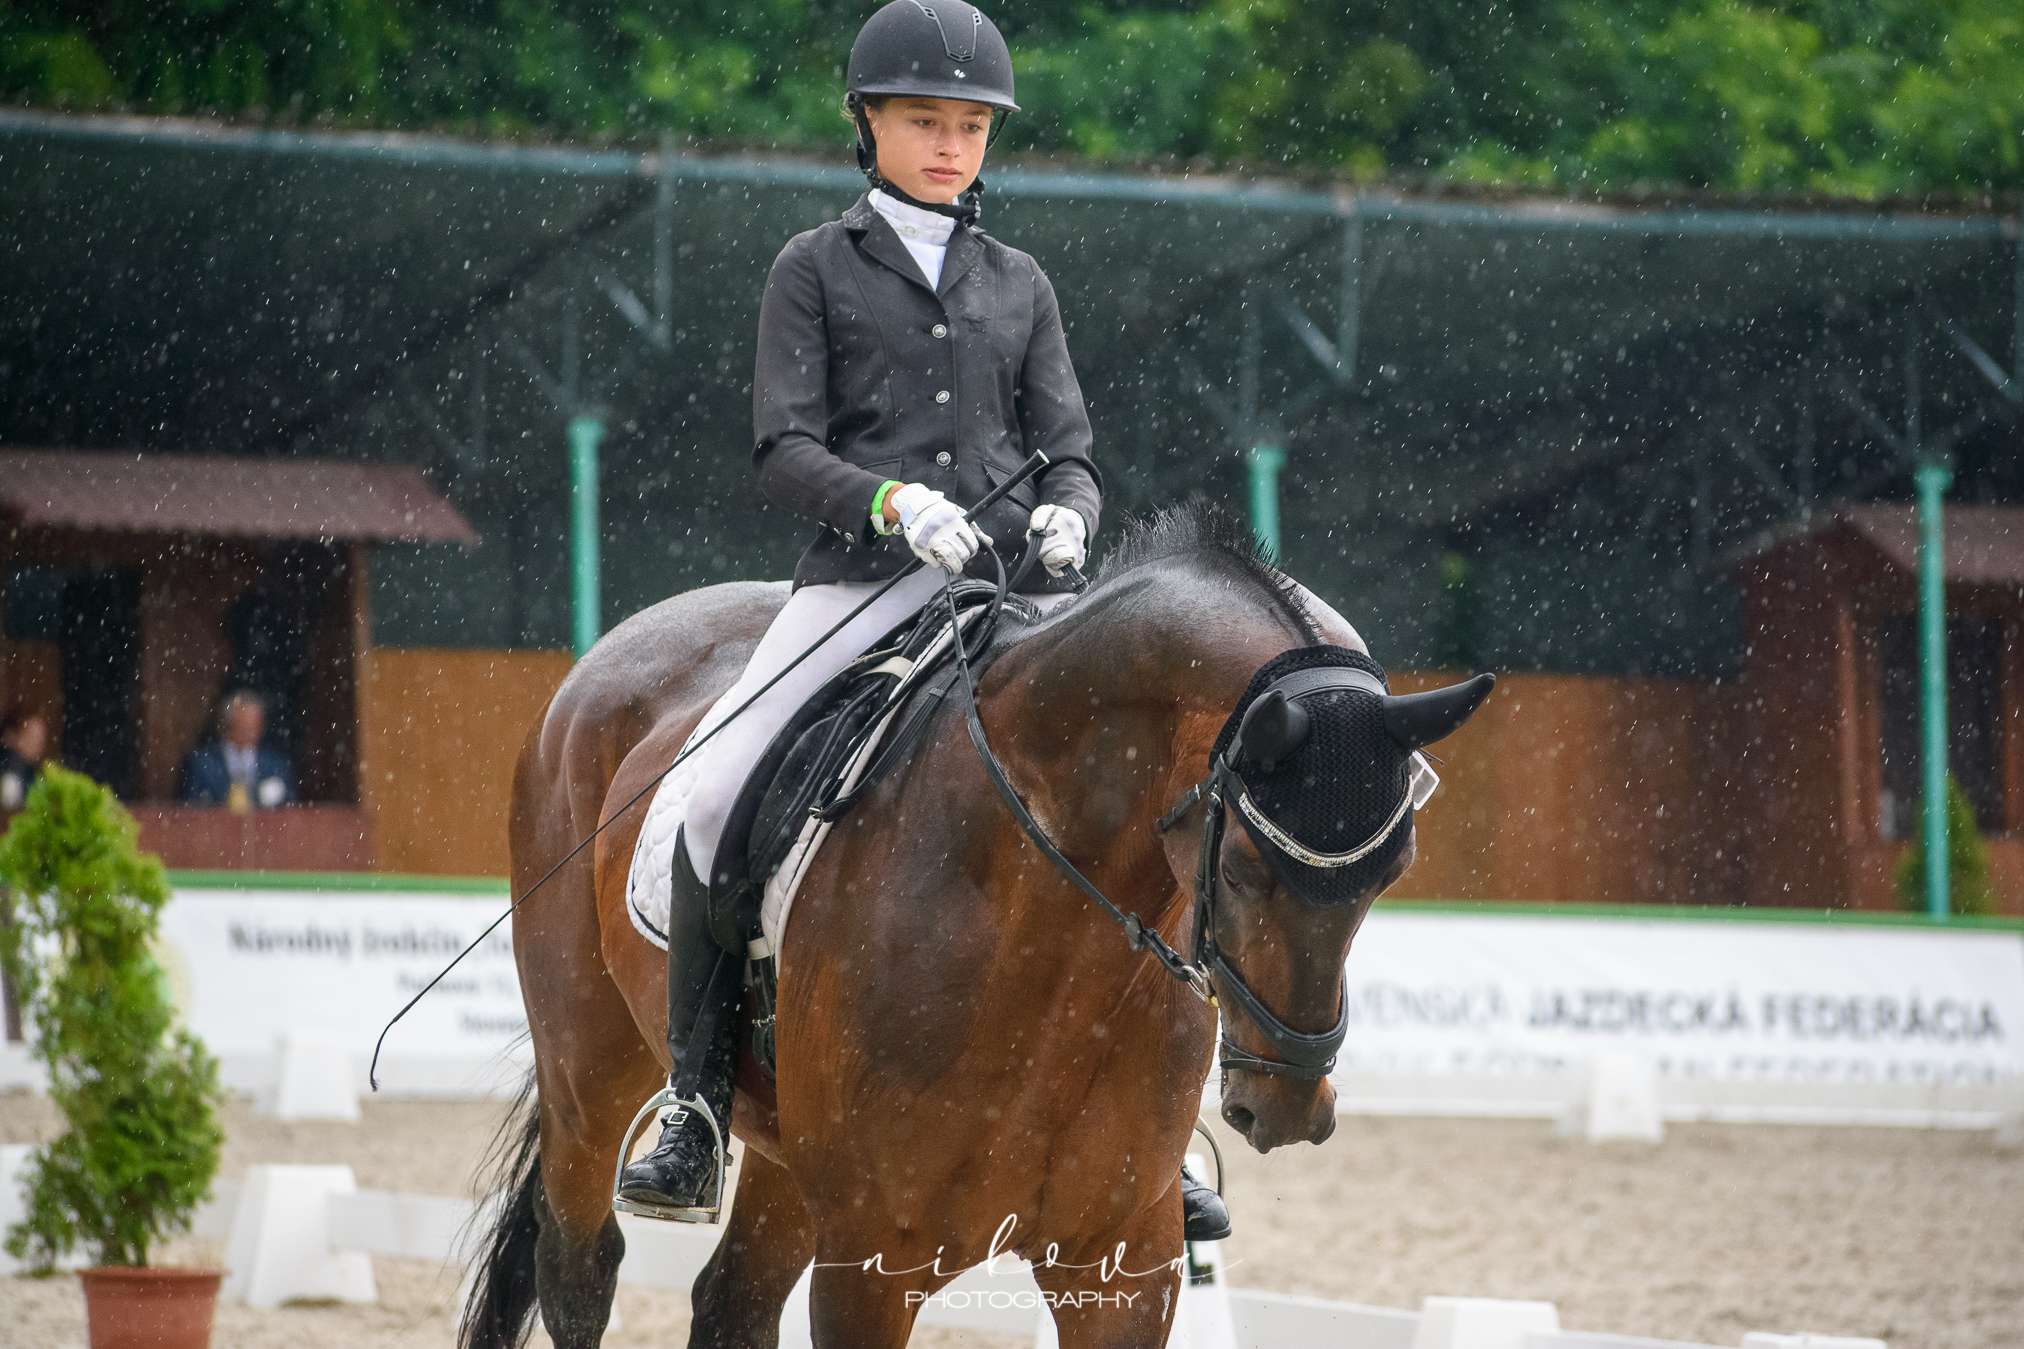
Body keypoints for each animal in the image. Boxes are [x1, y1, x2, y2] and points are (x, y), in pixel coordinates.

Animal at [460, 500, 1492, 1348]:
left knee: (733, 1300)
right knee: (581, 1272)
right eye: (1237, 867)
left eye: (1390, 874)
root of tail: (599, 663)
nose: (1287, 1107)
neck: (1051, 951)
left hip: (786, 1153)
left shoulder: (1122, 1267)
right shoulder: (872, 1265)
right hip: (588, 1072)